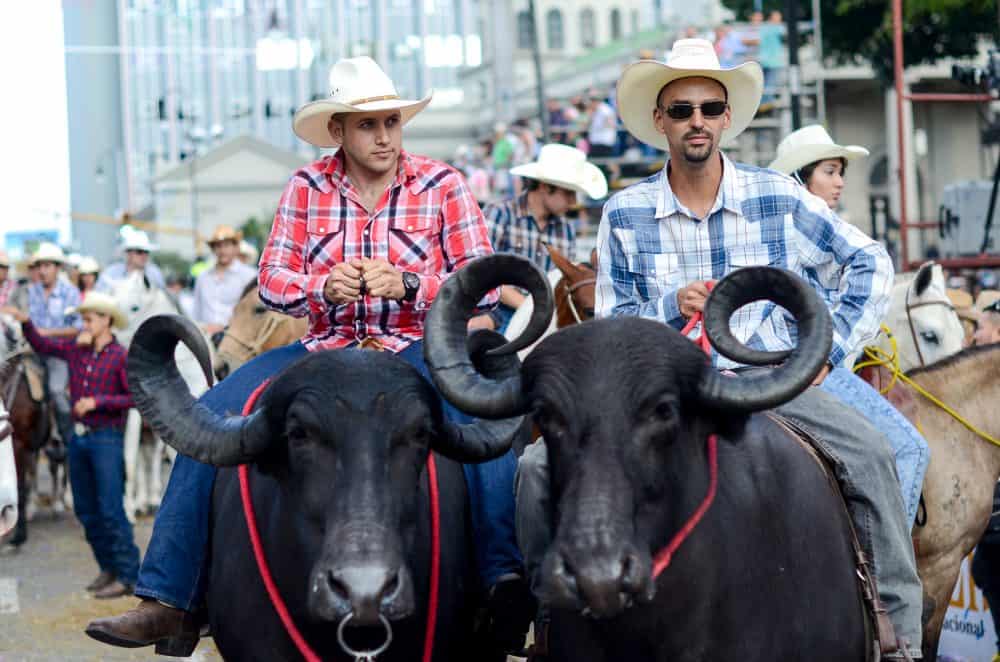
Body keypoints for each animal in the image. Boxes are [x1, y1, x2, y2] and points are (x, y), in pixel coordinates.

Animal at [109, 272, 211, 520]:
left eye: (134, 307)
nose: (110, 337)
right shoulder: (133, 414)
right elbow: (130, 458)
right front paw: (128, 510)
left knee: (152, 456)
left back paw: (152, 499)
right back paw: (140, 502)